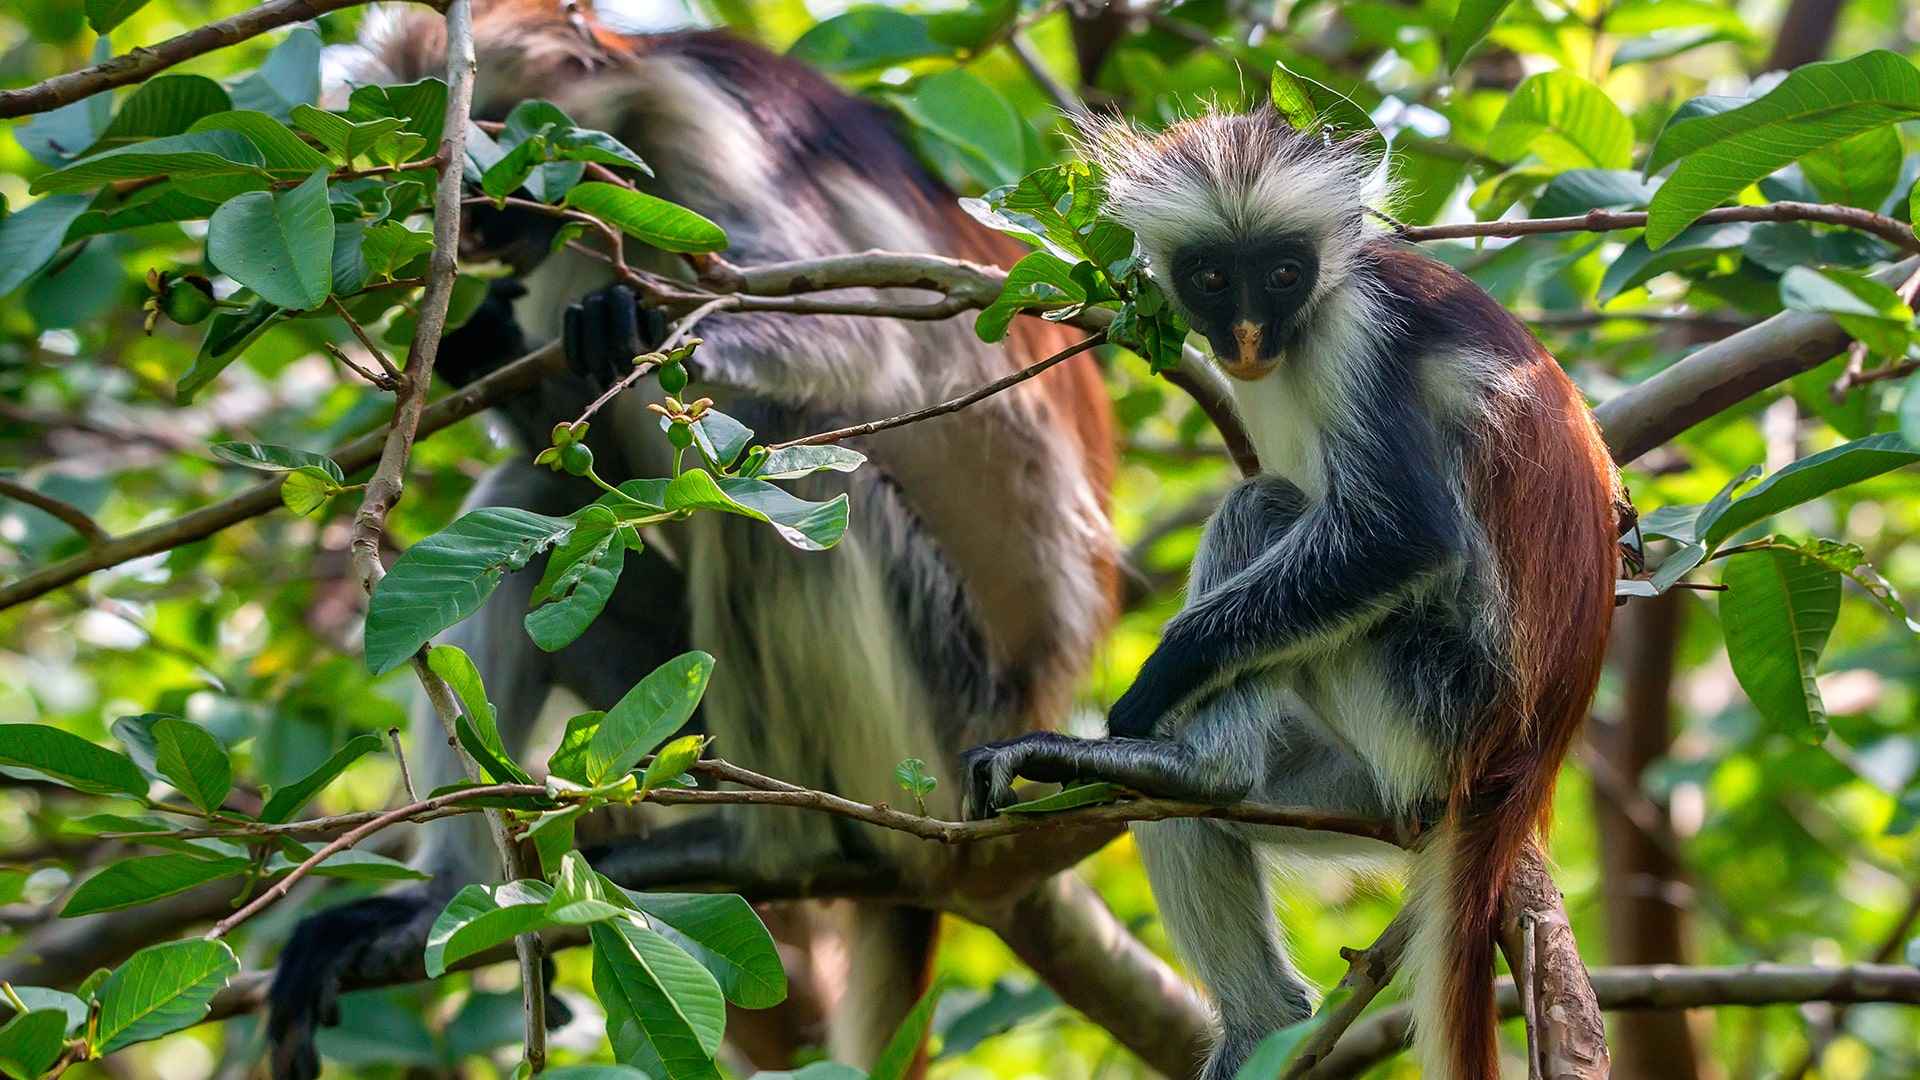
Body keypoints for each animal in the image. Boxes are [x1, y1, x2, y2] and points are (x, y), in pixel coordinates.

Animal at [263, 4, 1121, 1068]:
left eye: (506, 146)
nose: (485, 223)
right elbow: (570, 457)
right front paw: (476, 342)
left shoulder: (694, 125)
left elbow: (863, 343)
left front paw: (637, 327)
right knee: (534, 512)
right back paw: (451, 896)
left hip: (939, 711)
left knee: (792, 464)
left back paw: (761, 845)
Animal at [960, 107, 1620, 1076]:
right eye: (1210, 276)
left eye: (1282, 273)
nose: (1241, 337)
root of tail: (1523, 763)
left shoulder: (1359, 332)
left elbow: (1400, 536)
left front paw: (1162, 676)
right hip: (1358, 789)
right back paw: (1257, 1014)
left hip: (1428, 700)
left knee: (1266, 509)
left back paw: (1196, 767)